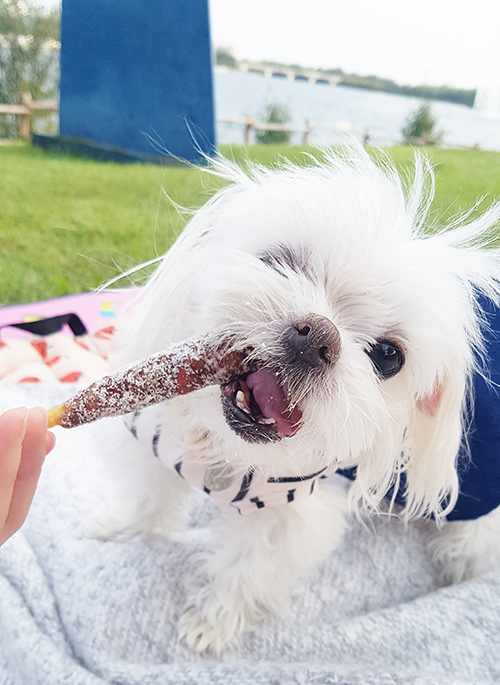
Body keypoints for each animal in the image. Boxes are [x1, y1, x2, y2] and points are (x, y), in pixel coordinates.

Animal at [96, 144, 500, 652]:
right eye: (278, 263)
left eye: (389, 356)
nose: (318, 337)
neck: (226, 451)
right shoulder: (157, 439)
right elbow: (149, 498)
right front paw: (124, 532)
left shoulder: (292, 514)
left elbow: (249, 569)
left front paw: (212, 621)